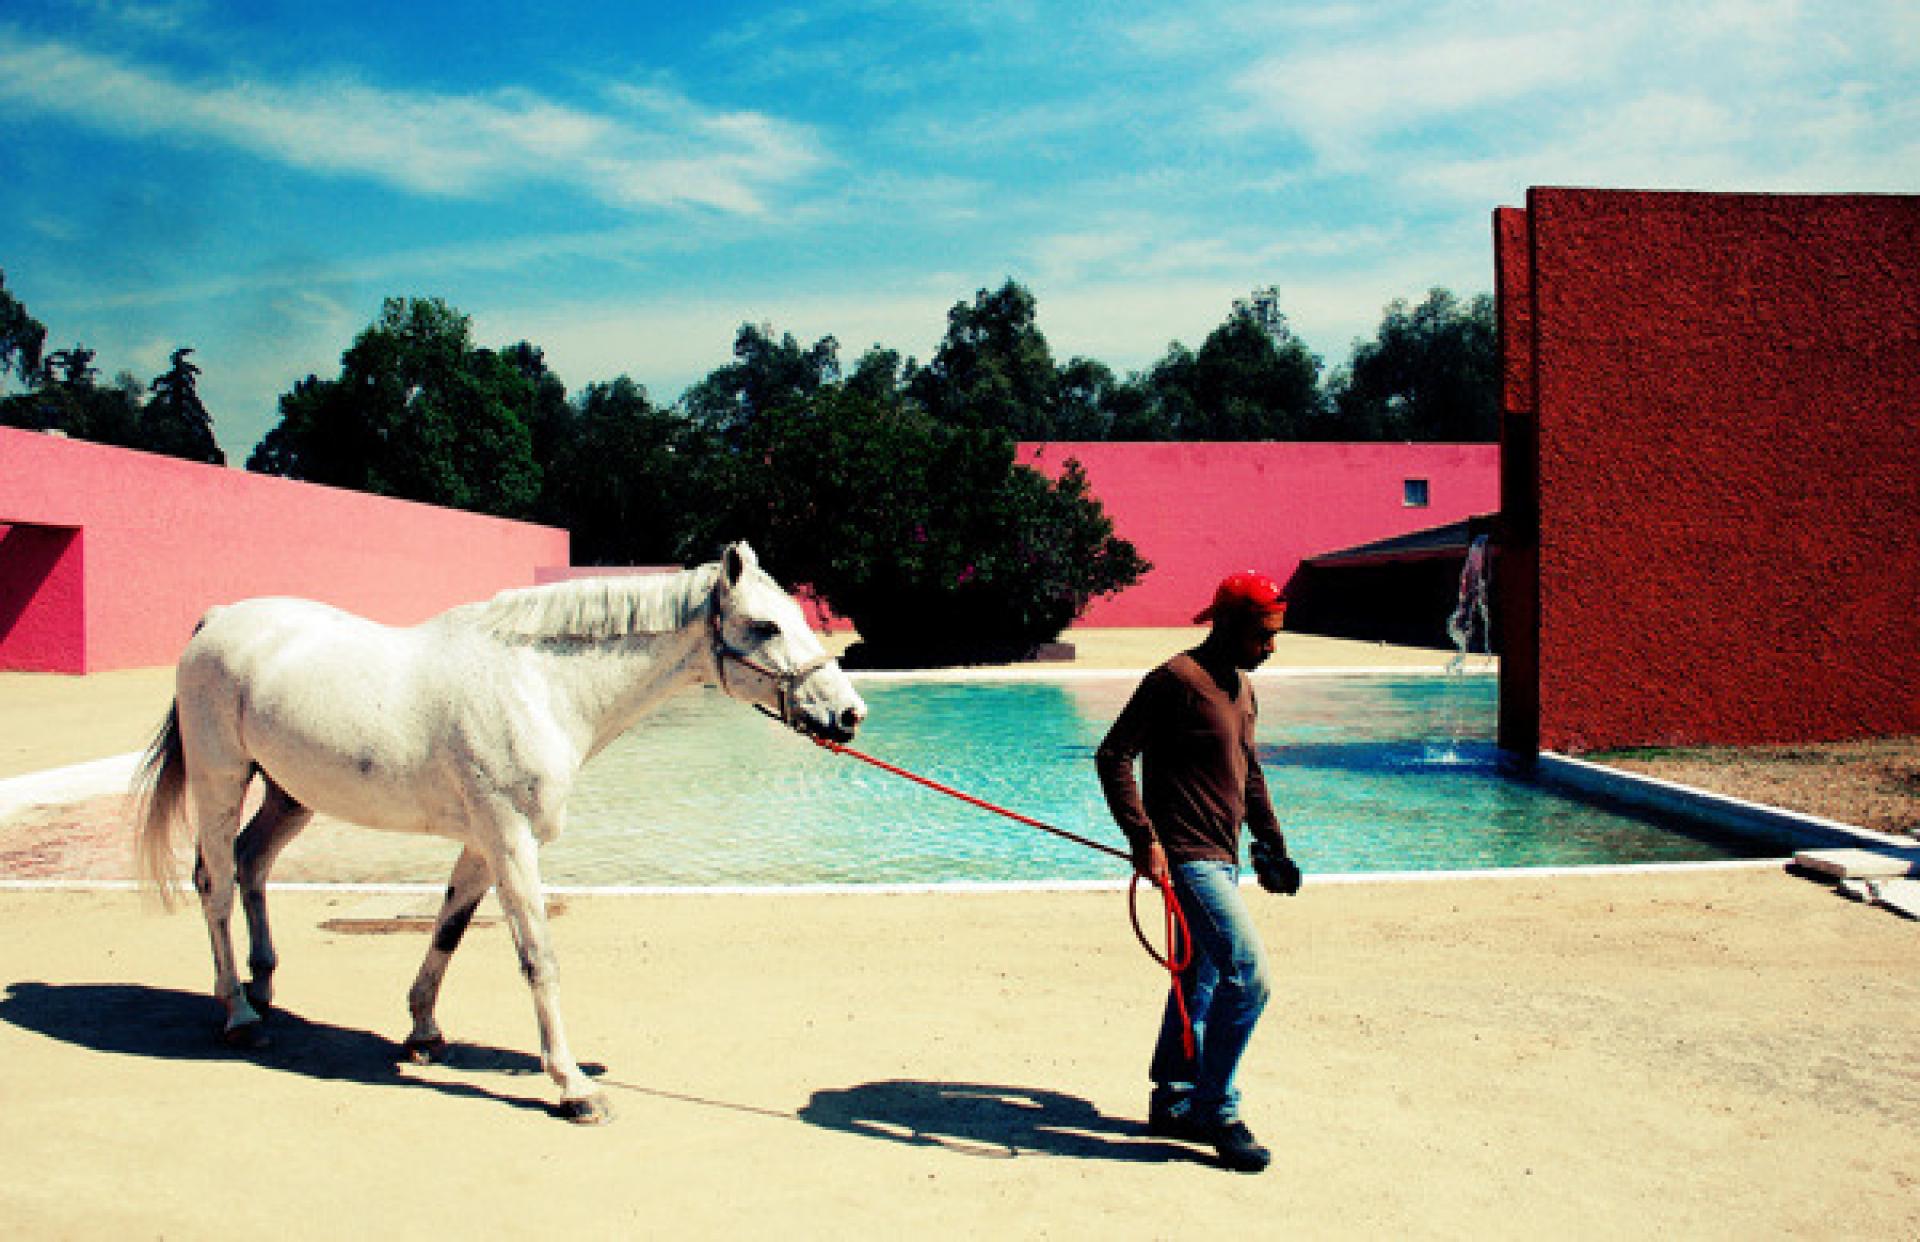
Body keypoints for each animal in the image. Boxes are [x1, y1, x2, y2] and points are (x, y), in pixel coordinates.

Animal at [139, 537, 875, 1121]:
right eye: (766, 626)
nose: (848, 715)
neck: (537, 685)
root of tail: (218, 620)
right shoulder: (511, 841)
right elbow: (537, 957)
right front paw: (573, 1087)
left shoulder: (482, 841)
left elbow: (449, 929)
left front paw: (425, 1033)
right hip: (220, 779)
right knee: (214, 882)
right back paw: (238, 1015)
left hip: (289, 794)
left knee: (252, 865)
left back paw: (262, 990)